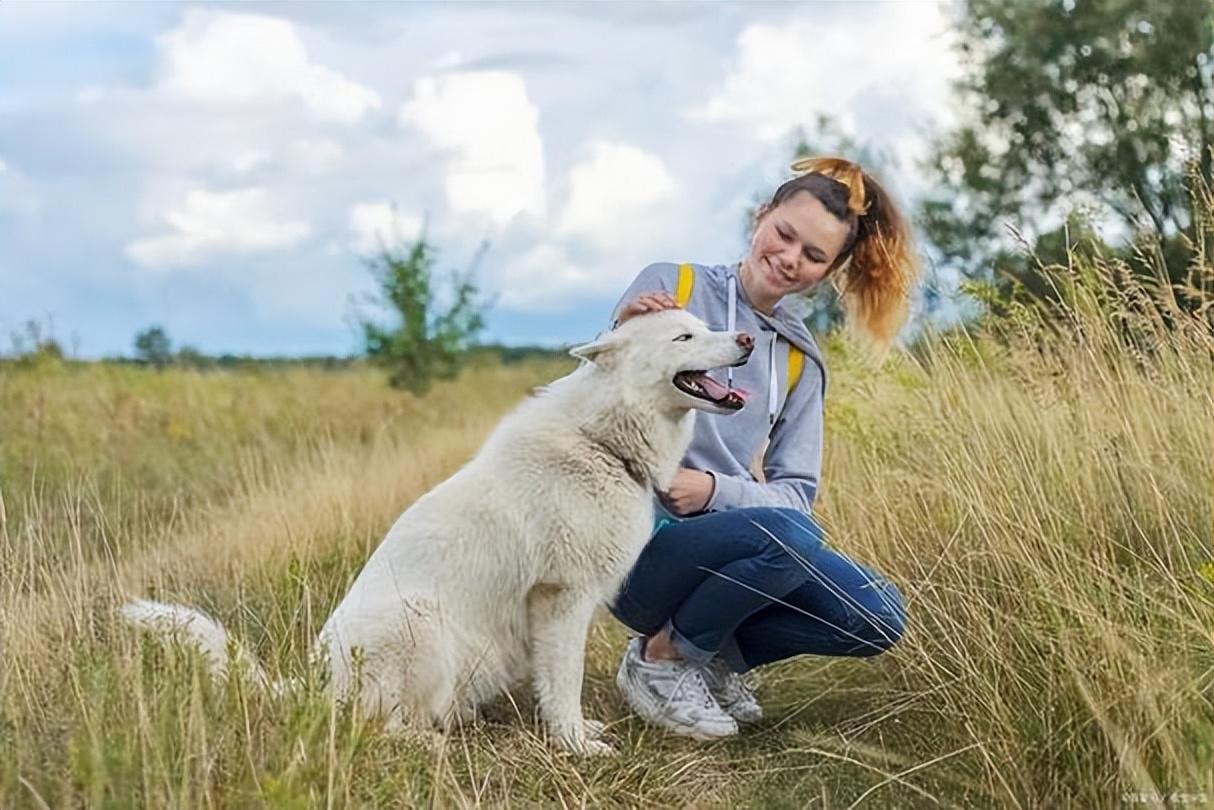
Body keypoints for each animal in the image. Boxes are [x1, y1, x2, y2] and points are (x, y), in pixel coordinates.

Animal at [123, 308, 747, 752]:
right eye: (683, 338)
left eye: (704, 327)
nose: (745, 339)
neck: (602, 442)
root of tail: (312, 687)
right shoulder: (561, 601)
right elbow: (562, 684)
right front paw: (574, 745)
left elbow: (555, 685)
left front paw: (577, 736)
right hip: (422, 623)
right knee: (375, 727)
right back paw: (430, 742)